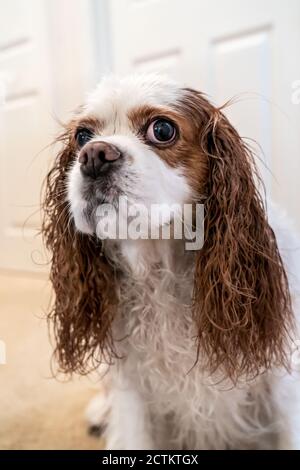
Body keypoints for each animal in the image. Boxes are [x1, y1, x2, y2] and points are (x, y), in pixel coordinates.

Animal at [42, 73, 300, 448]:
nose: (93, 155)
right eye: (83, 136)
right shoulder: (132, 389)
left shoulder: (283, 383)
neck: (161, 269)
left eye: (162, 130)